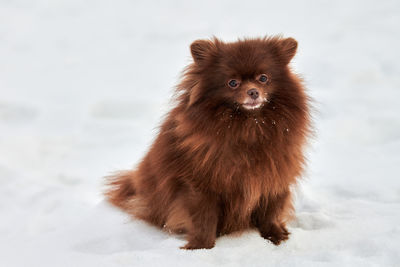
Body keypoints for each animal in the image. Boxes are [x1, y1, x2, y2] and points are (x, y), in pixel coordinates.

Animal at [104, 36, 310, 250]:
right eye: (232, 83)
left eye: (263, 78)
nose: (253, 92)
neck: (249, 127)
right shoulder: (200, 185)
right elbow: (204, 219)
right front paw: (200, 247)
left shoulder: (274, 176)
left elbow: (271, 211)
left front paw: (275, 236)